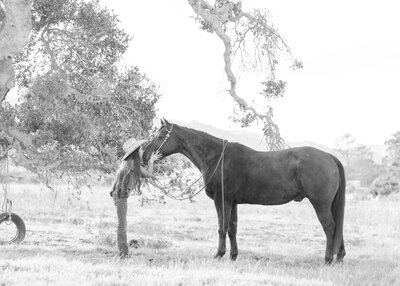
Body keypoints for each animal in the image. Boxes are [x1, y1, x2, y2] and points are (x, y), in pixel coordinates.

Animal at [142, 118, 346, 264]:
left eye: (160, 137)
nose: (144, 156)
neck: (217, 157)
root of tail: (329, 157)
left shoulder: (222, 200)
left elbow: (222, 227)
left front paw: (219, 254)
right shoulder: (233, 202)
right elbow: (232, 228)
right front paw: (233, 255)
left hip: (320, 204)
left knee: (330, 227)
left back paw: (328, 259)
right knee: (338, 227)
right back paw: (339, 256)